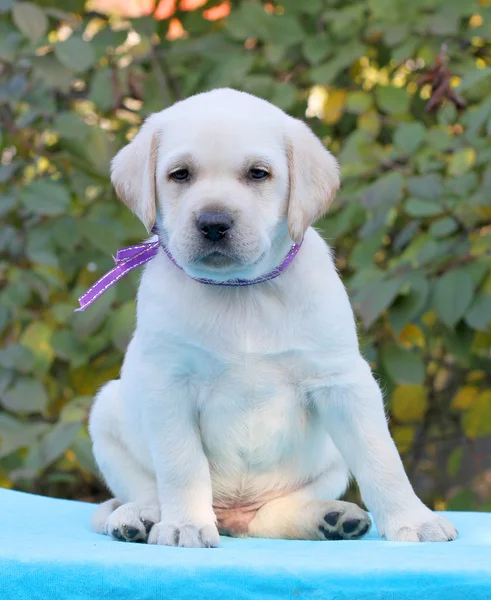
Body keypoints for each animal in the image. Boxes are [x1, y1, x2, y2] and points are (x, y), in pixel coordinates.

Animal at [87, 88, 458, 548]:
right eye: (180, 175)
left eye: (258, 174)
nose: (213, 222)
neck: (241, 291)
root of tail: (233, 516)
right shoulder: (167, 384)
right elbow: (181, 465)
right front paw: (185, 525)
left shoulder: (343, 382)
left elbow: (381, 457)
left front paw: (415, 520)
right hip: (106, 412)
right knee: (143, 490)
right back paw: (140, 516)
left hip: (328, 461)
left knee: (272, 517)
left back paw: (330, 517)